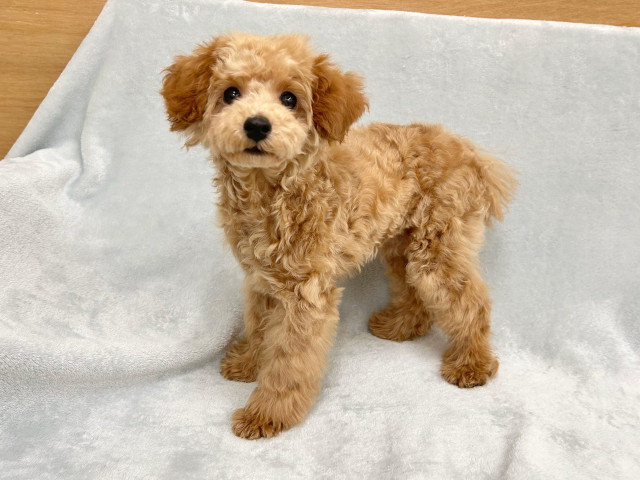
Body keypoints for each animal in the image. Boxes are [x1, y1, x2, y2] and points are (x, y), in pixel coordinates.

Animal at [161, 33, 517, 439]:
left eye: (289, 98)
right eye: (231, 93)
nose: (257, 125)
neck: (276, 190)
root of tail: (472, 154)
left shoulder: (306, 295)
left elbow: (288, 363)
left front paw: (266, 414)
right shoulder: (261, 280)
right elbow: (258, 327)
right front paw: (248, 362)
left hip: (438, 251)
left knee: (471, 302)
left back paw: (472, 364)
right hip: (402, 246)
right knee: (415, 293)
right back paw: (398, 328)